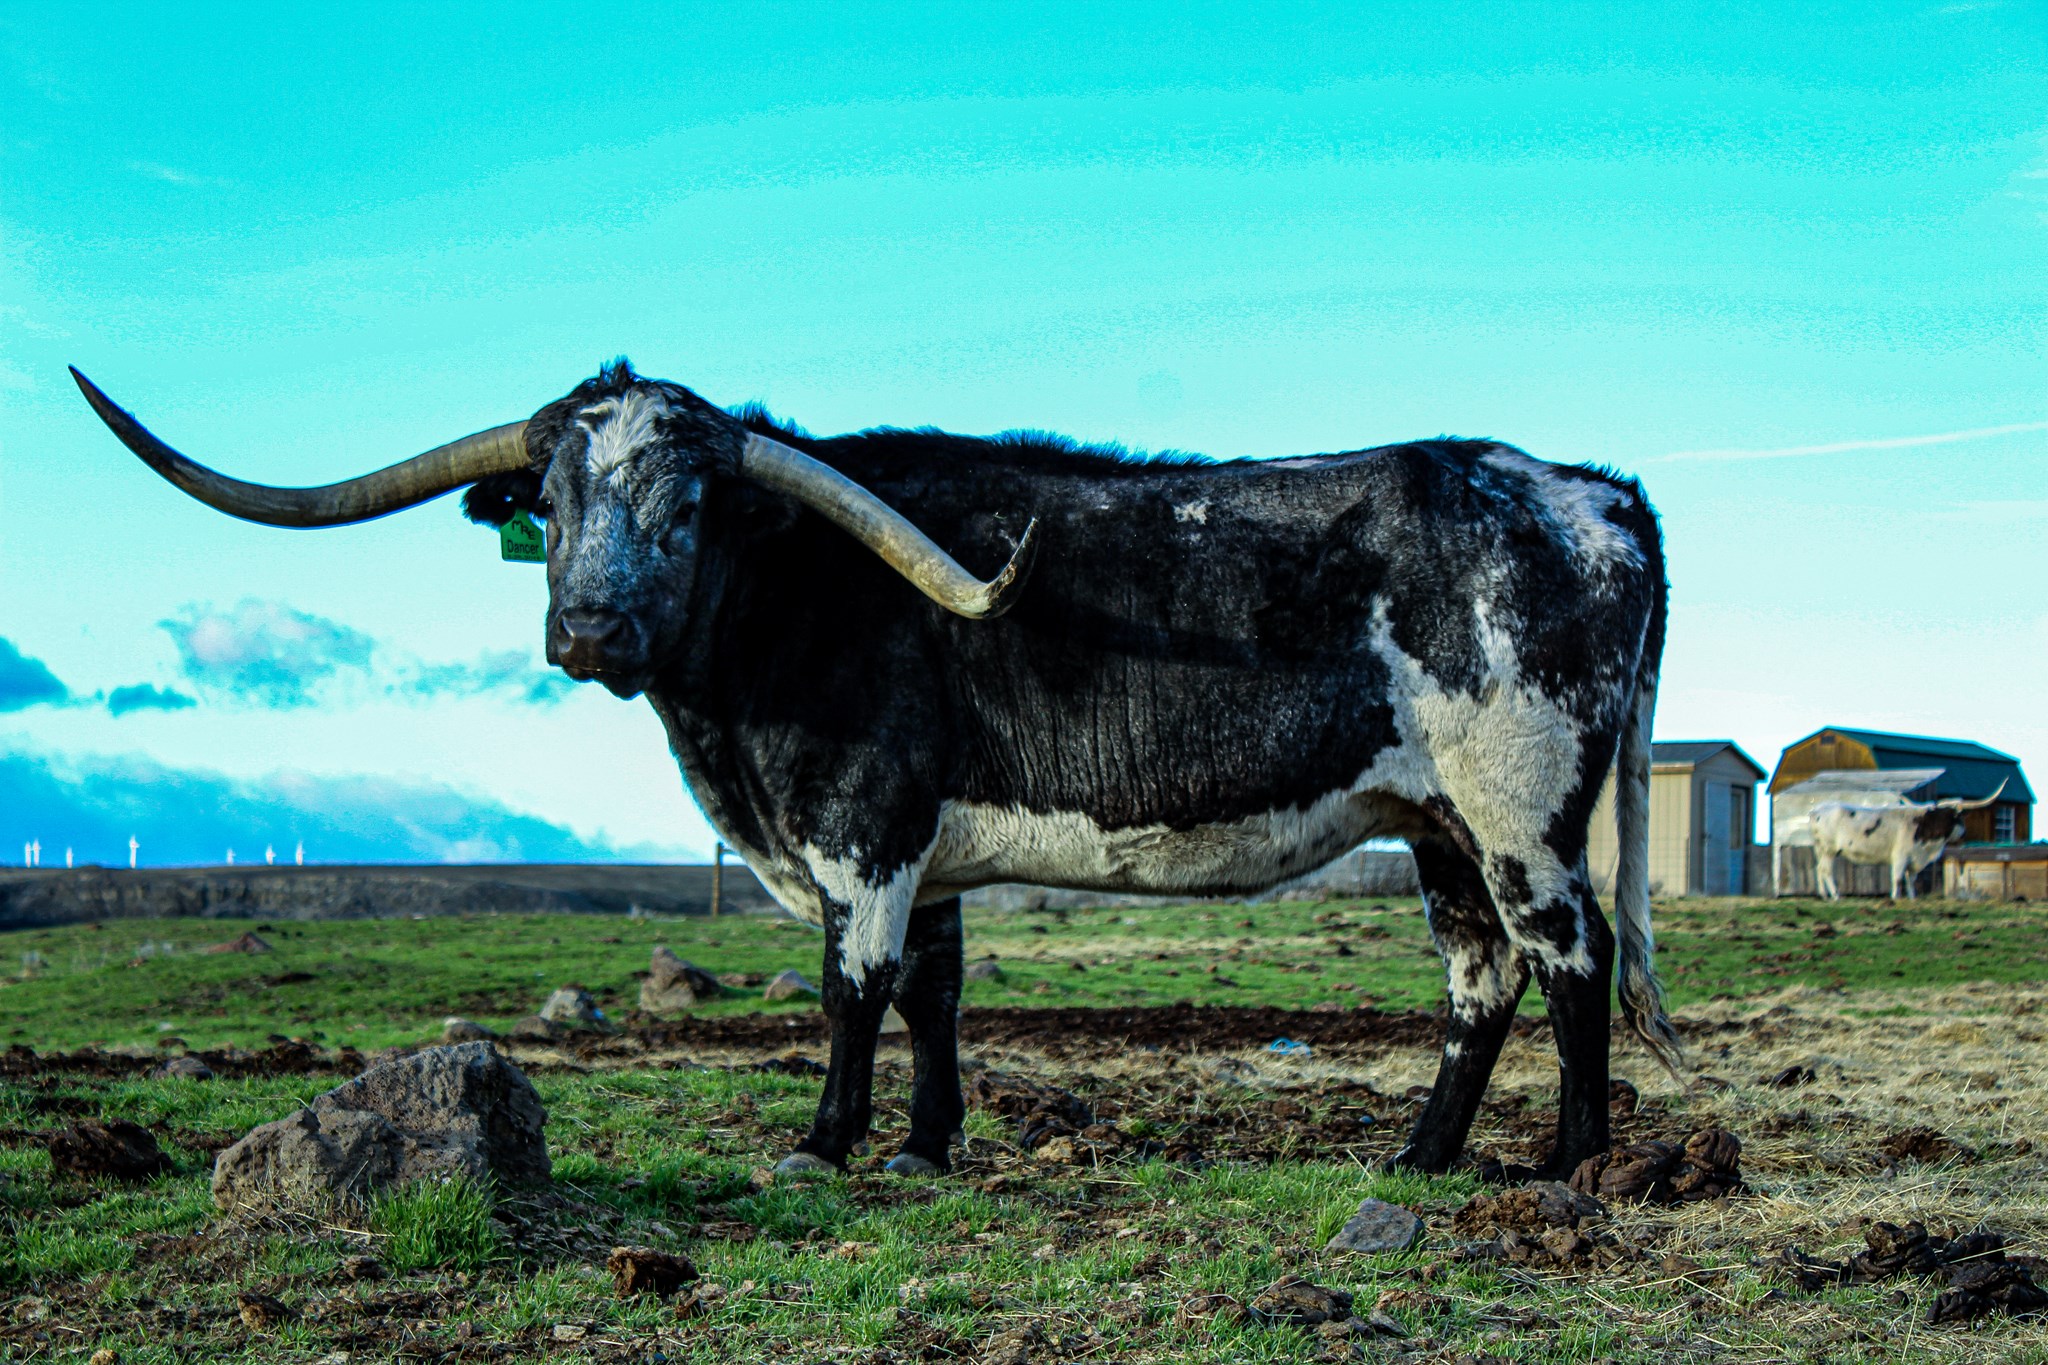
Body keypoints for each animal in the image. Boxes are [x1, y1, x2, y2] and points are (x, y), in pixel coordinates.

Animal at [71, 359, 1680, 1180]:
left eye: (693, 500)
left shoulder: (865, 830)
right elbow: (934, 995)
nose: (589, 626)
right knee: (1480, 980)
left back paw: (1568, 1163)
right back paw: (1420, 1154)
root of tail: (1585, 487)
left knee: (1569, 962)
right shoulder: (936, 852)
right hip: (1432, 823)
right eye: (555, 497)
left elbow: (853, 984)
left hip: (1520, 809)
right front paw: (925, 1142)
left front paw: (829, 1140)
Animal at [1809, 784, 2005, 900]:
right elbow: (1897, 878)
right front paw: (1895, 898)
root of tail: (1817, 810)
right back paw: (1836, 896)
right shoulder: (1900, 857)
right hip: (1829, 850)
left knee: (1818, 869)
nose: (1964, 834)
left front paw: (1912, 898)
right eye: (1959, 817)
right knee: (1826, 870)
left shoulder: (1914, 859)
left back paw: (1824, 895)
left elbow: (1911, 880)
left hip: (1821, 850)